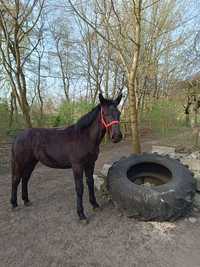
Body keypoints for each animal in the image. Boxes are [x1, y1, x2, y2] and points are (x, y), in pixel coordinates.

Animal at [11, 93, 123, 223]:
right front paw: (81, 215)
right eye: (105, 113)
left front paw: (95, 205)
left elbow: (90, 183)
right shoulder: (77, 166)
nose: (117, 136)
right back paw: (14, 204)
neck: (84, 137)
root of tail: (19, 136)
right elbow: (79, 188)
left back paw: (26, 200)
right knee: (16, 180)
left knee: (25, 179)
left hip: (31, 162)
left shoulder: (90, 164)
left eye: (119, 113)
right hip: (20, 162)